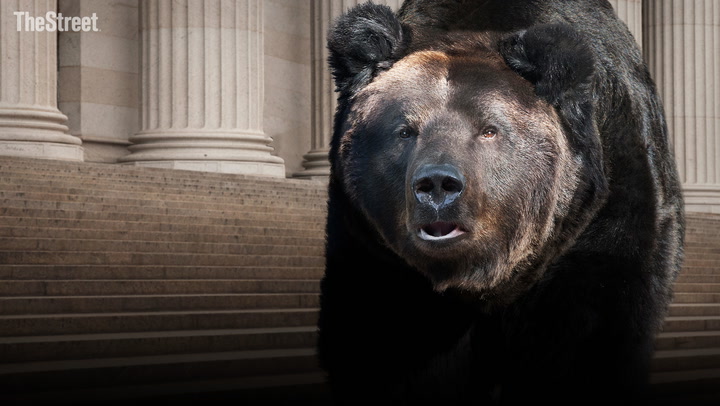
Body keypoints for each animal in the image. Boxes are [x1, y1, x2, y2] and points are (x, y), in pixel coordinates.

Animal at [317, 0, 685, 403]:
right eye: (404, 130)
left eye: (489, 129)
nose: (438, 184)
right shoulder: (376, 254)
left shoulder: (603, 228)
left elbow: (588, 342)